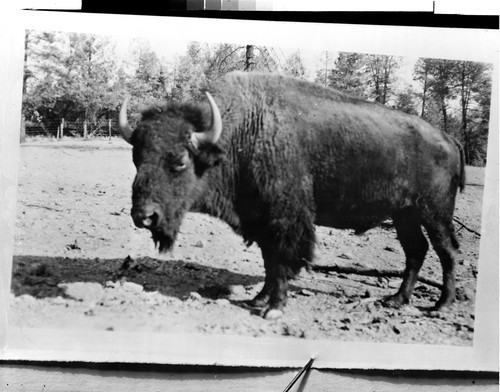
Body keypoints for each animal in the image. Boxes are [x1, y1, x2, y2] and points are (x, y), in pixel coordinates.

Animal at [120, 72, 464, 320]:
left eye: (180, 161)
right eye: (136, 157)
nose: (144, 216)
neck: (246, 131)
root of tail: (448, 138)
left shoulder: (287, 220)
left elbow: (283, 261)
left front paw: (274, 308)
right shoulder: (261, 221)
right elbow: (269, 262)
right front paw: (259, 298)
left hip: (435, 213)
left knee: (446, 251)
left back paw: (441, 306)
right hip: (405, 215)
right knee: (416, 252)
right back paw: (396, 299)